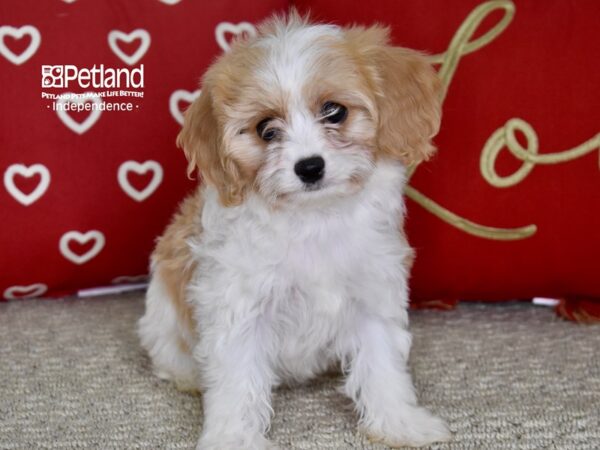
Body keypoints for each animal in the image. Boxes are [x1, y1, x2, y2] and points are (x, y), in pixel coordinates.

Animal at [139, 10, 450, 450]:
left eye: (334, 111)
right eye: (265, 129)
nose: (309, 166)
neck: (313, 218)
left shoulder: (372, 293)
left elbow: (382, 364)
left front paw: (399, 423)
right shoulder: (239, 307)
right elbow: (236, 382)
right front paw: (234, 438)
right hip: (162, 316)